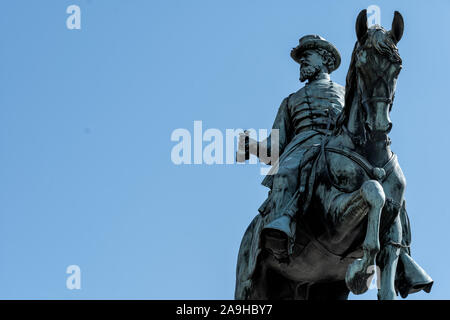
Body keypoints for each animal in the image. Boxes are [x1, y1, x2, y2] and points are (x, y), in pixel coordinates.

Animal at [236, 9, 432, 300]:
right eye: (361, 65)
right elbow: (373, 191)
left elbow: (387, 283)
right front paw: (359, 273)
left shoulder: (392, 234)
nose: (379, 125)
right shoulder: (333, 219)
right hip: (251, 286)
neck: (371, 155)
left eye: (397, 66)